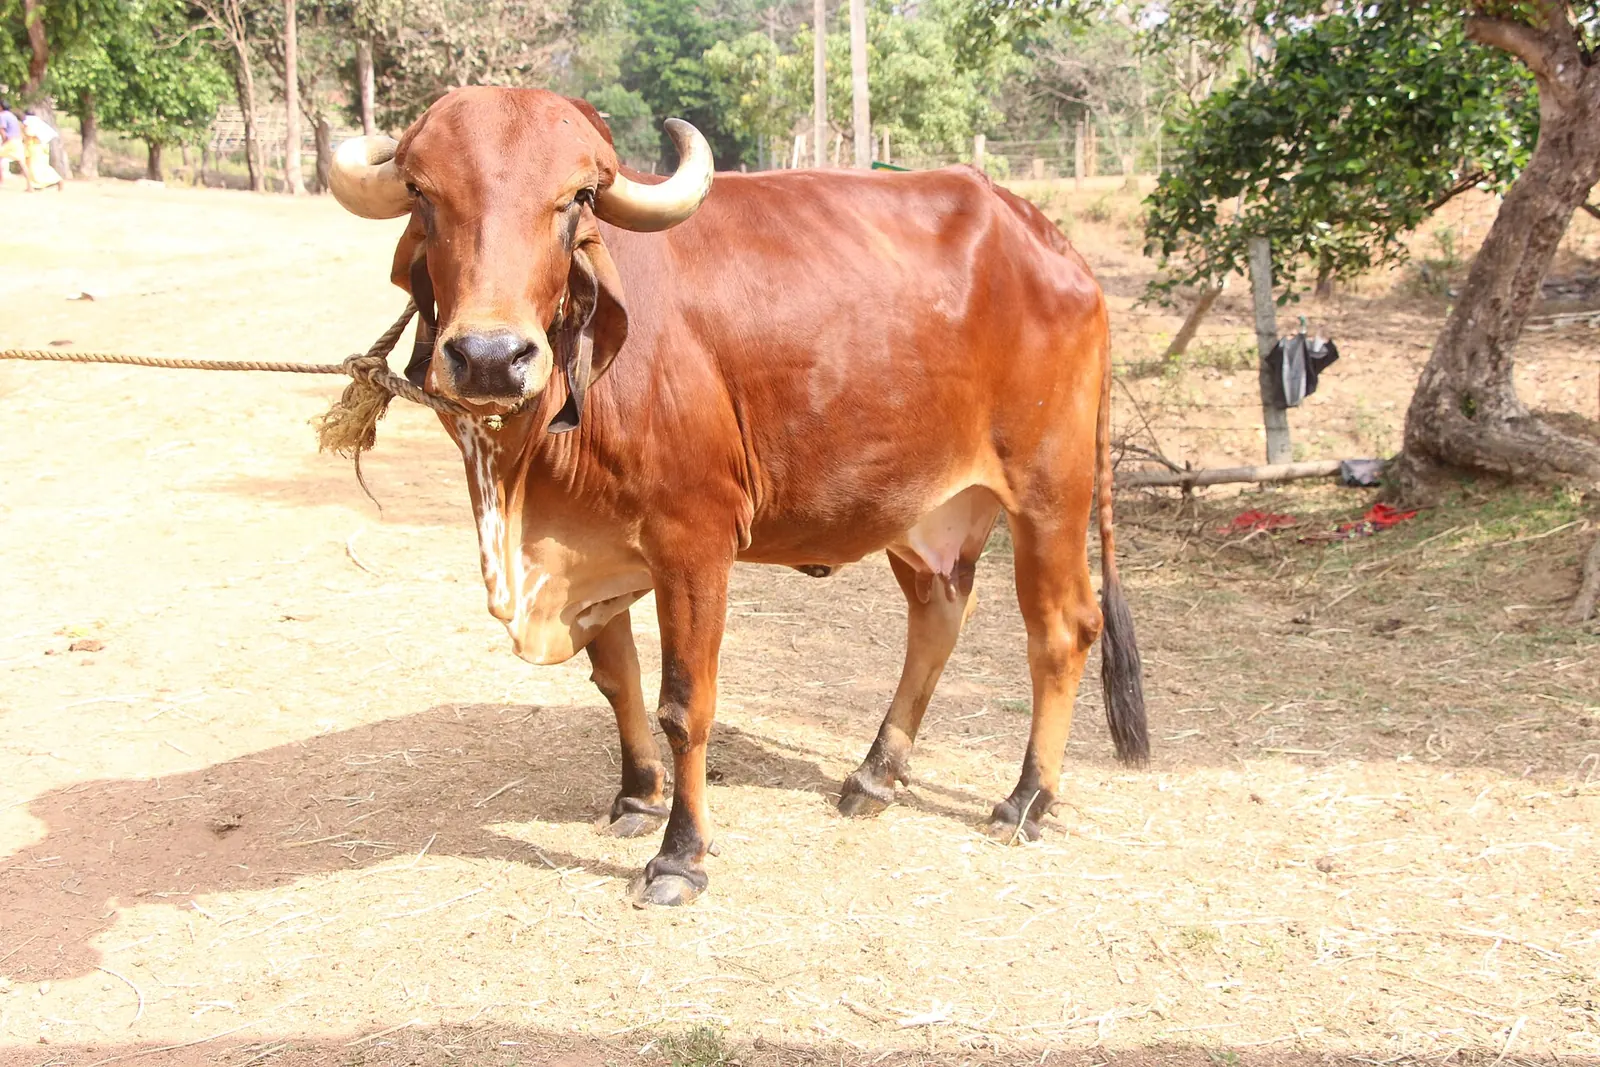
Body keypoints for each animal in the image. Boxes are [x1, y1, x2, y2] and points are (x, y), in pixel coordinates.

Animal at [327, 86, 1147, 906]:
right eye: (423, 193)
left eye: (576, 199)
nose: (491, 358)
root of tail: (1051, 243)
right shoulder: (593, 546)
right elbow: (617, 679)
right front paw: (636, 797)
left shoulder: (694, 542)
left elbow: (684, 704)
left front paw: (680, 854)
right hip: (924, 511)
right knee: (939, 617)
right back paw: (875, 775)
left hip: (1049, 494)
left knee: (1063, 629)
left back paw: (1026, 799)